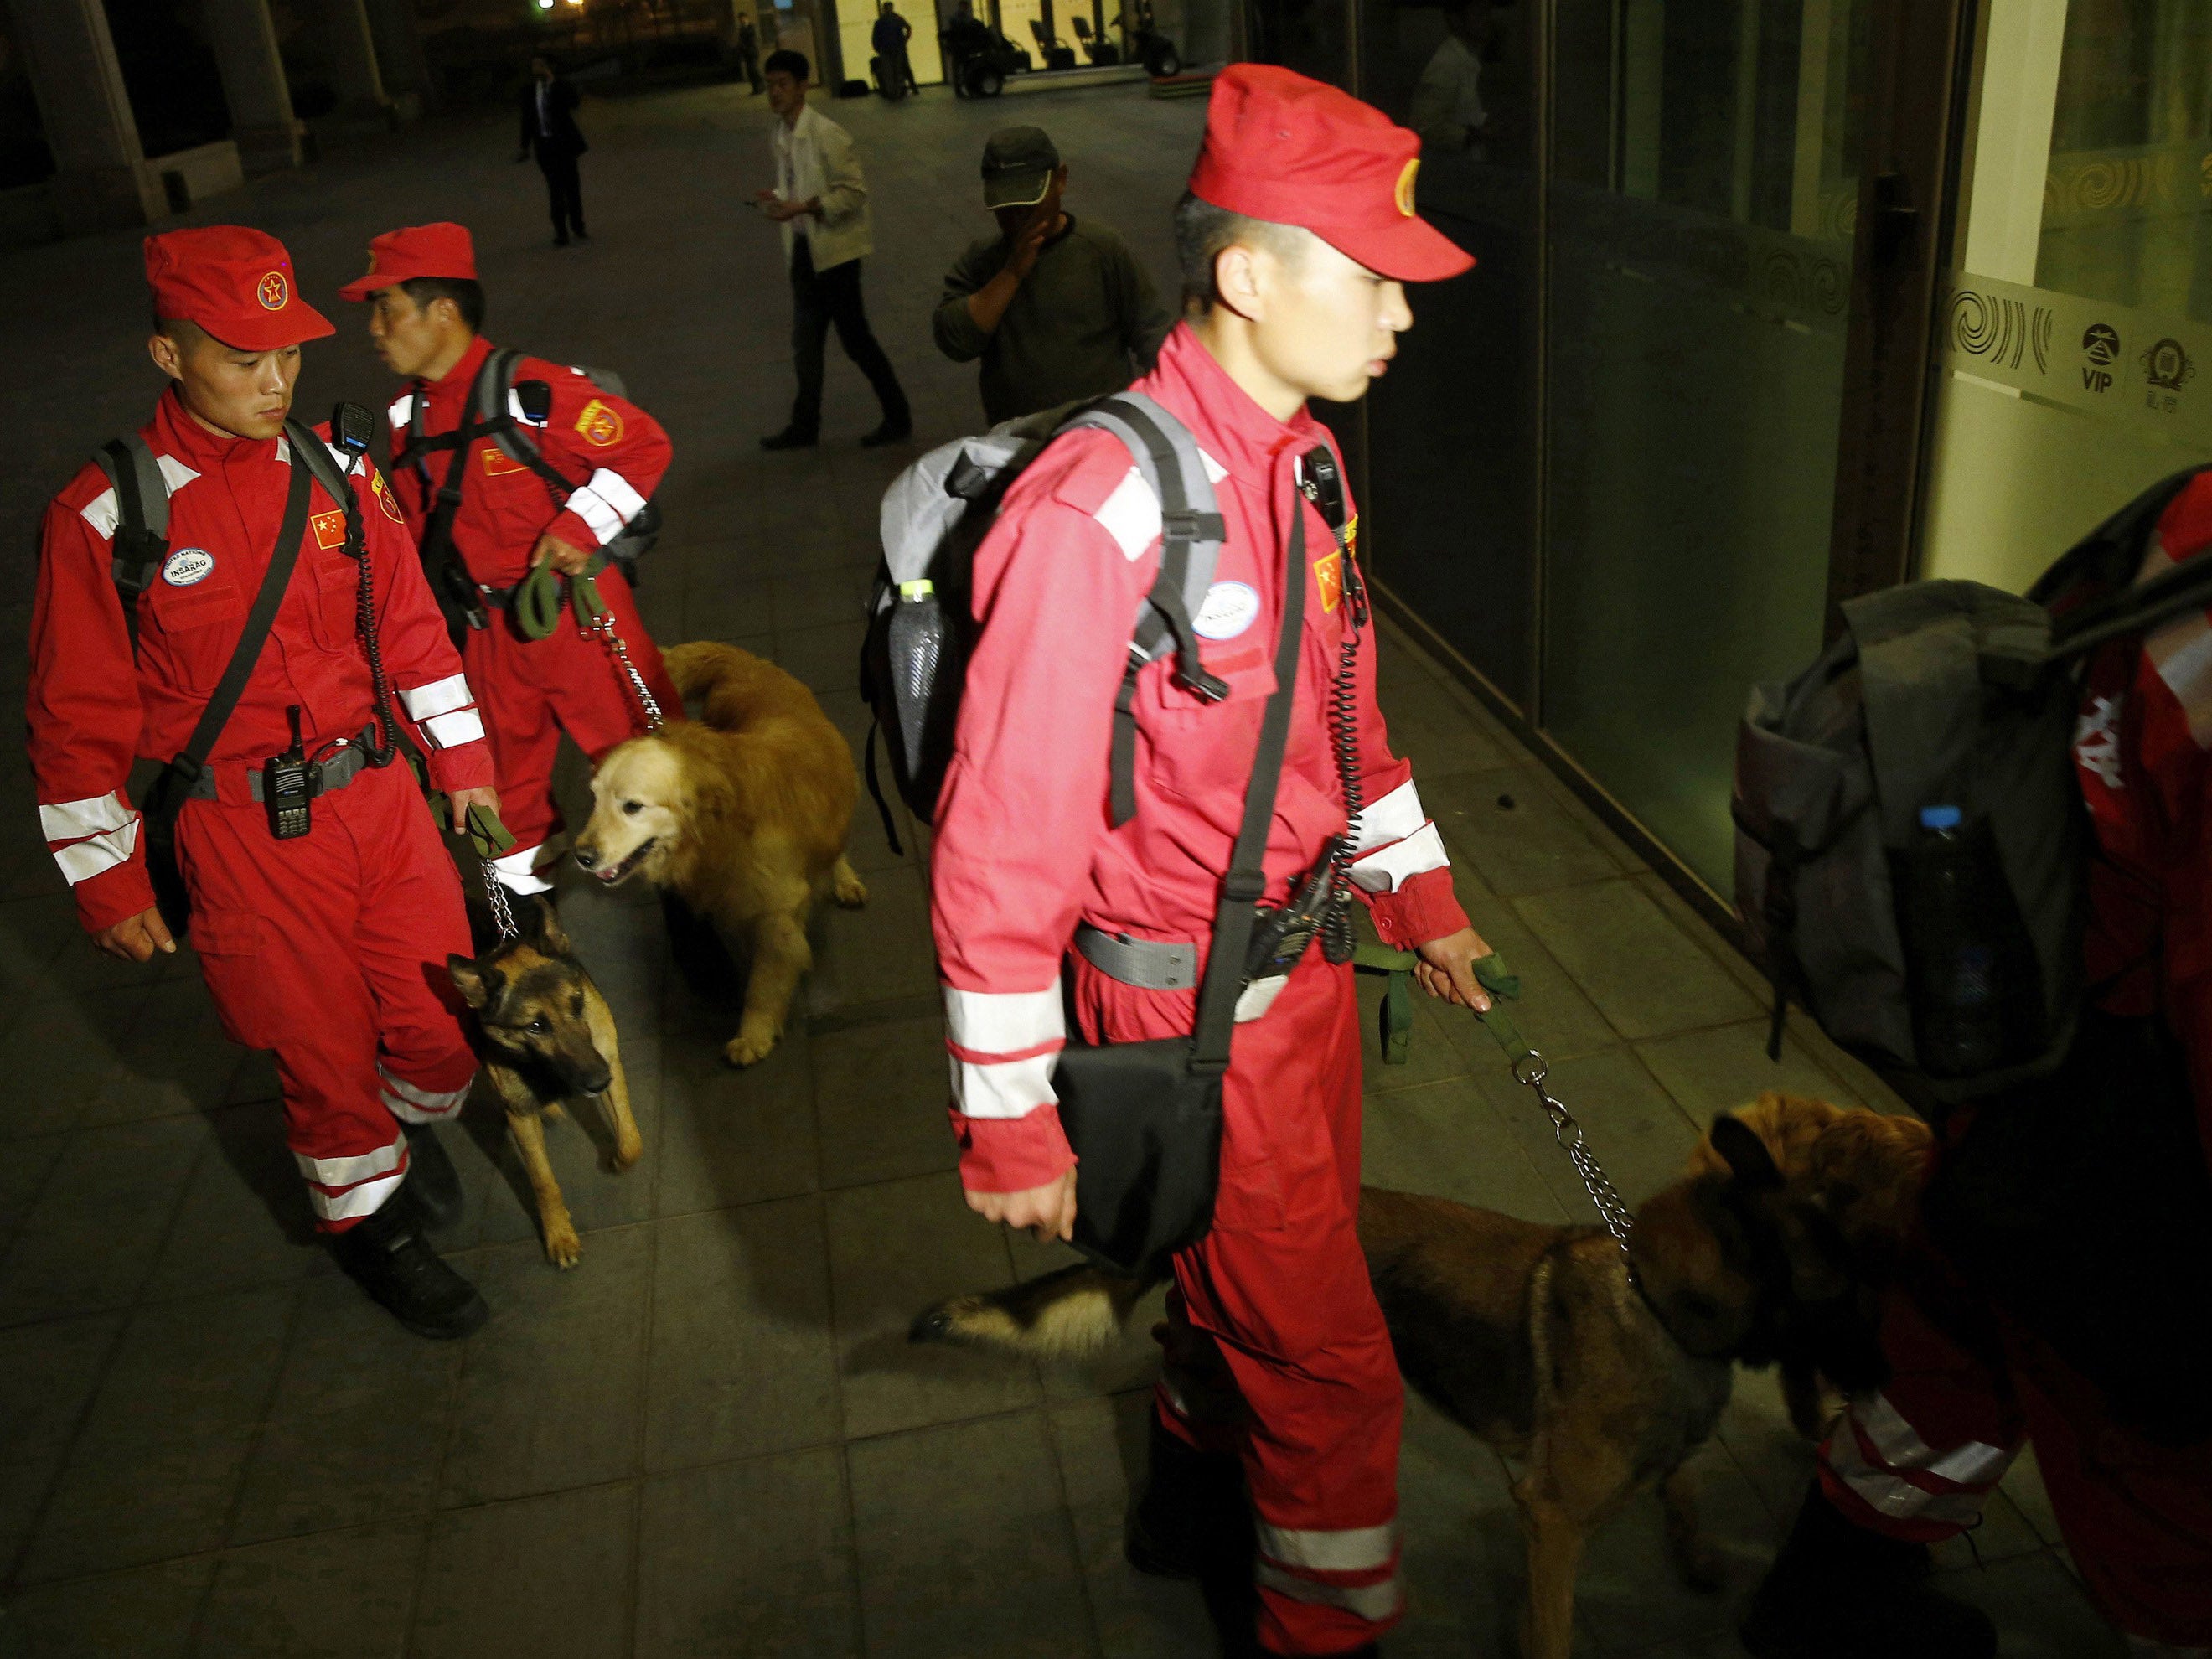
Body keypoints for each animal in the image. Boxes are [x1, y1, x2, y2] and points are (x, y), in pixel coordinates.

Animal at [447, 902, 641, 1265]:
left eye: (577, 1004)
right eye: (535, 1026)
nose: (598, 1081)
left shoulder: (609, 1061)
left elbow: (631, 1141)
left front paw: (618, 1161)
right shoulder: (519, 1113)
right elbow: (542, 1180)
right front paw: (559, 1235)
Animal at [571, 641, 862, 1070]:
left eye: (633, 807)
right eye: (594, 799)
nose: (582, 857)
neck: (719, 833)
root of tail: (745, 663)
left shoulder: (776, 911)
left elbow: (764, 981)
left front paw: (753, 1035)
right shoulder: (737, 900)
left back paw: (844, 880)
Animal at [911, 1093, 1920, 1659]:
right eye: (1853, 1283)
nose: (1896, 1380)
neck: (1663, 1306)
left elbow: (1682, 1484)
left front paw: (1699, 1549)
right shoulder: (1551, 1521)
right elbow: (1553, 1630)